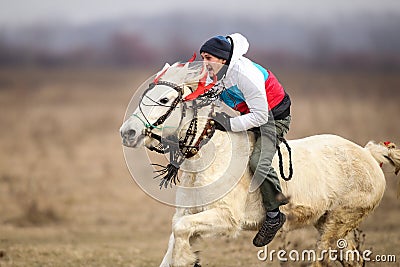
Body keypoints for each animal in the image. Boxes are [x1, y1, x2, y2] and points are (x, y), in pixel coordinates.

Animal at [119, 61, 400, 266]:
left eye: (165, 100)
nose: (127, 132)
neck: (208, 158)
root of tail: (369, 156)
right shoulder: (189, 213)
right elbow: (176, 235)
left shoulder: (225, 217)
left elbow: (179, 231)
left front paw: (187, 259)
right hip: (333, 223)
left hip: (337, 222)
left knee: (323, 257)